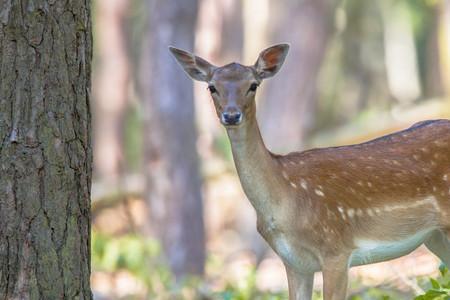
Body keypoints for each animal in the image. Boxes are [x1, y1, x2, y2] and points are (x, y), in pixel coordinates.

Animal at [169, 42, 450, 300]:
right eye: (212, 87)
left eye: (253, 85)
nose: (231, 115)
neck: (285, 203)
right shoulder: (294, 262)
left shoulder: (336, 249)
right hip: (434, 236)